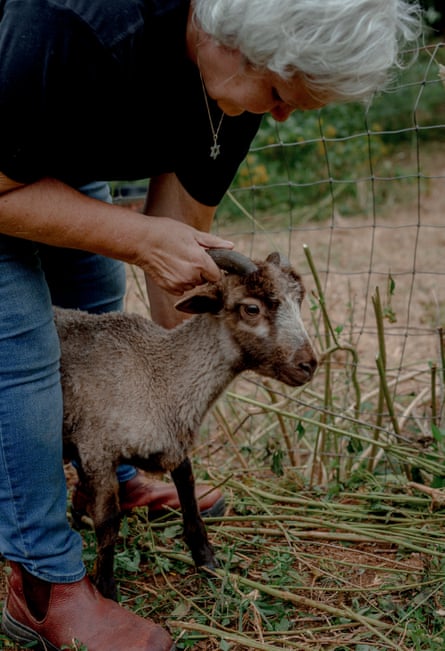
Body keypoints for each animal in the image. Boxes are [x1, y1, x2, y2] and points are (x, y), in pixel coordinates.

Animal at [56, 250, 317, 600]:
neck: (162, 376)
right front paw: (106, 588)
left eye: (298, 301)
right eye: (251, 308)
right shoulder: (97, 451)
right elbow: (109, 523)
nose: (309, 365)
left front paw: (207, 560)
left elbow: (189, 495)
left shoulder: (174, 444)